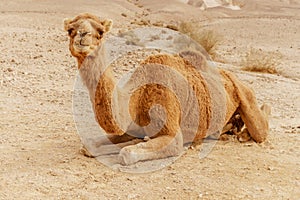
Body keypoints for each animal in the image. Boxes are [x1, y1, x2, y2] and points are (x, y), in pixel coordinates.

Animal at [63, 13, 270, 165]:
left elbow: (127, 153)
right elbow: (89, 145)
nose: (82, 35)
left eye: (100, 31)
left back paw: (245, 131)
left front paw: (136, 144)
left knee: (261, 129)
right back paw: (230, 129)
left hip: (246, 94)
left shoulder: (171, 131)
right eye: (70, 30)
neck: (137, 98)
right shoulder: (131, 127)